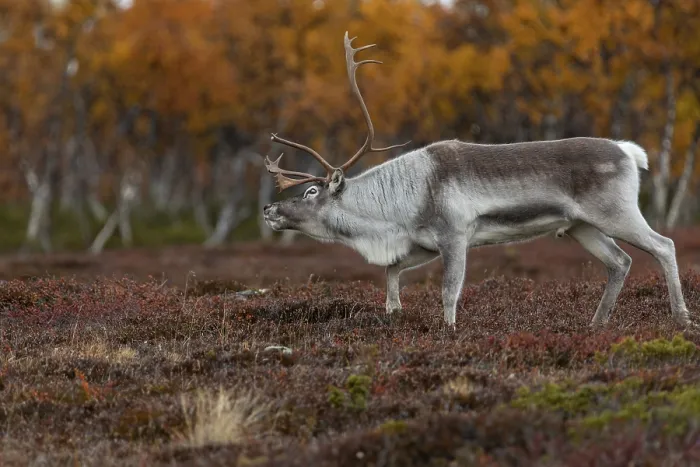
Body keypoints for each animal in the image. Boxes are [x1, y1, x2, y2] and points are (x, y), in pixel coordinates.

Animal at [262, 31, 692, 330]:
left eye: (311, 190)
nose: (268, 208)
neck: (395, 210)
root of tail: (628, 152)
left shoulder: (455, 235)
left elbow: (448, 291)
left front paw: (449, 331)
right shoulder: (423, 243)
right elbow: (391, 270)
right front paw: (394, 312)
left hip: (616, 213)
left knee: (664, 245)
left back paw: (681, 318)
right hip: (580, 226)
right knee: (620, 262)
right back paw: (596, 323)